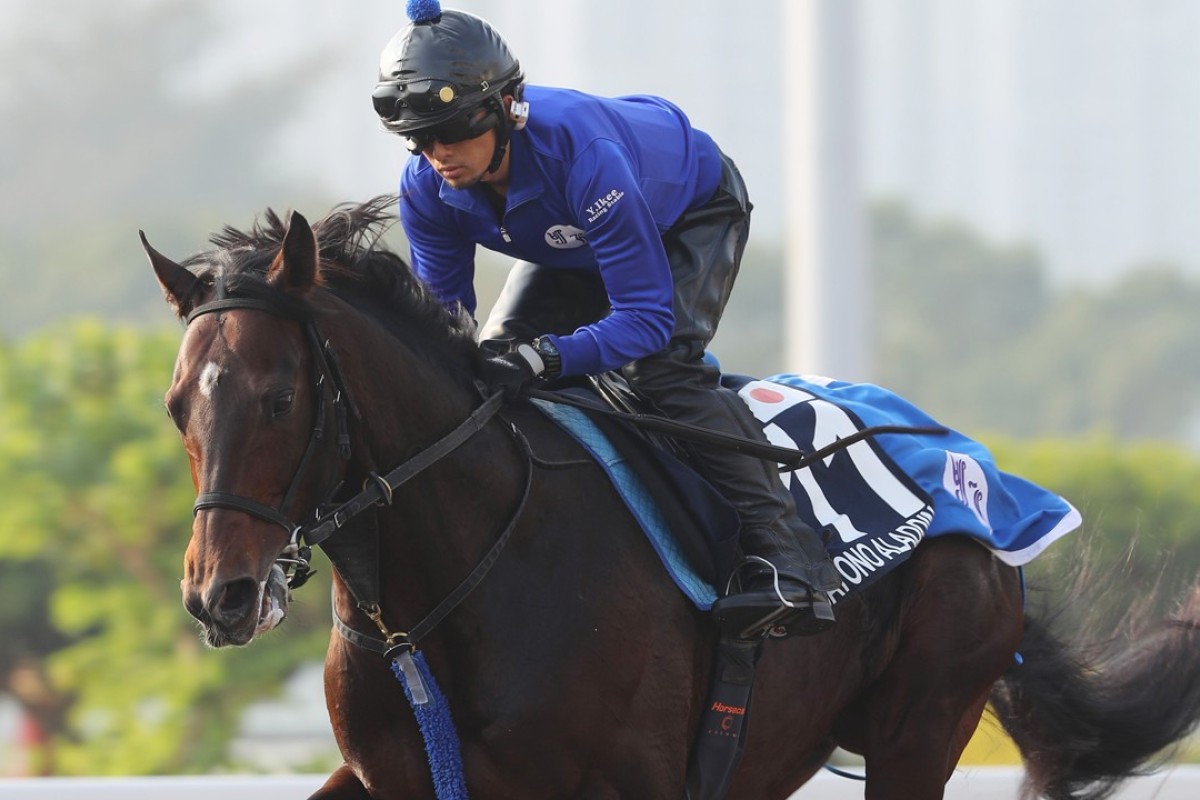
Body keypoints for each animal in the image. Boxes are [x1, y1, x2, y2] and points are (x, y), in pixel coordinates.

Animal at [142, 195, 1200, 800]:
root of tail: (975, 477)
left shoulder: (637, 780)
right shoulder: (396, 778)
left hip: (922, 721)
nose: (217, 594)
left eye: (281, 399)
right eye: (175, 405)